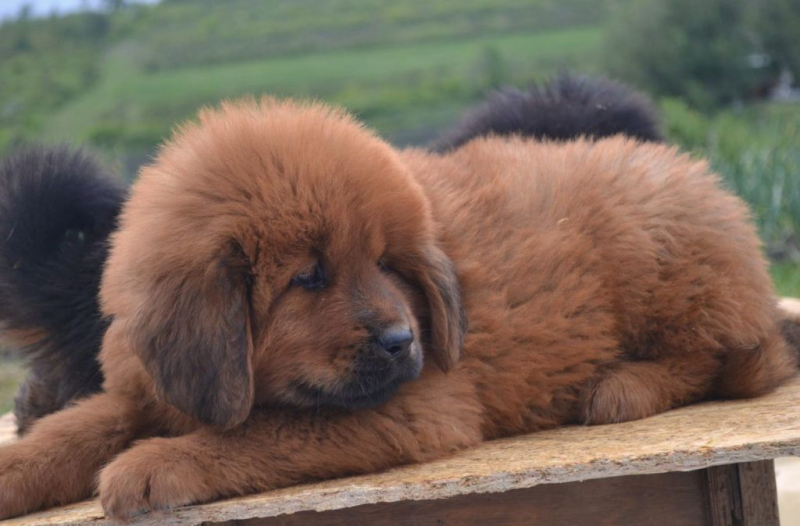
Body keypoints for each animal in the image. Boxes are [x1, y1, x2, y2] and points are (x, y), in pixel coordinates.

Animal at [1, 97, 800, 520]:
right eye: (310, 277)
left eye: (387, 263)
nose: (400, 341)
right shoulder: (143, 389)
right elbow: (70, 431)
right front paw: (17, 468)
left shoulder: (417, 405)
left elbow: (259, 435)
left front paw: (158, 464)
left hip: (652, 246)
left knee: (737, 357)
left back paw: (623, 386)